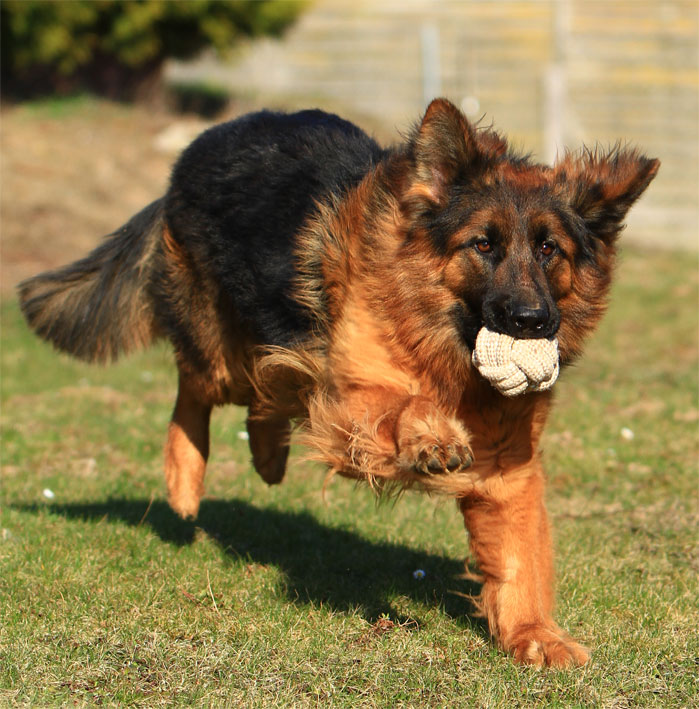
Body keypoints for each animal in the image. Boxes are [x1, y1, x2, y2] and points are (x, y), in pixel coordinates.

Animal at [18, 98, 658, 667]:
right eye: (483, 244)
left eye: (550, 249)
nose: (532, 321)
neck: (439, 341)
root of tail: (200, 145)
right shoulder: (346, 401)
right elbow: (399, 401)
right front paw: (431, 436)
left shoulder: (509, 467)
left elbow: (521, 556)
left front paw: (534, 636)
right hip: (223, 355)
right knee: (196, 390)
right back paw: (183, 481)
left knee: (267, 392)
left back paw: (267, 457)